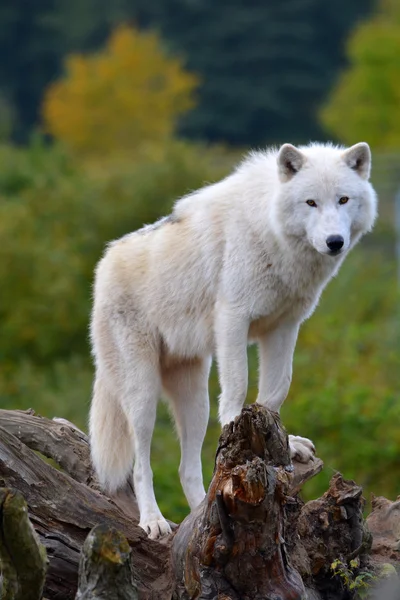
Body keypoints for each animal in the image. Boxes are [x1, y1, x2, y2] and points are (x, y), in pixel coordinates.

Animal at [90, 142, 378, 540]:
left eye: (343, 199)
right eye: (311, 202)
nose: (334, 242)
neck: (272, 234)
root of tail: (103, 264)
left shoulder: (284, 327)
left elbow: (275, 393)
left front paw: (283, 445)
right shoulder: (232, 322)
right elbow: (239, 389)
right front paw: (239, 439)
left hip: (195, 401)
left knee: (187, 469)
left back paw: (204, 520)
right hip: (143, 396)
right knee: (140, 464)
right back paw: (154, 520)